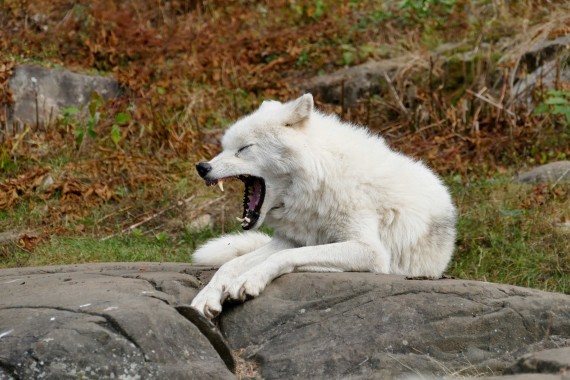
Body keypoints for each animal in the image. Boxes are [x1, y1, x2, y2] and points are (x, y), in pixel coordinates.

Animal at [189, 93, 454, 318]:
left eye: (243, 149)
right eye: (225, 147)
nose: (202, 167)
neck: (319, 180)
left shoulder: (371, 251)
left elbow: (286, 256)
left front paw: (247, 281)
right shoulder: (291, 240)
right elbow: (230, 265)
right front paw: (205, 298)